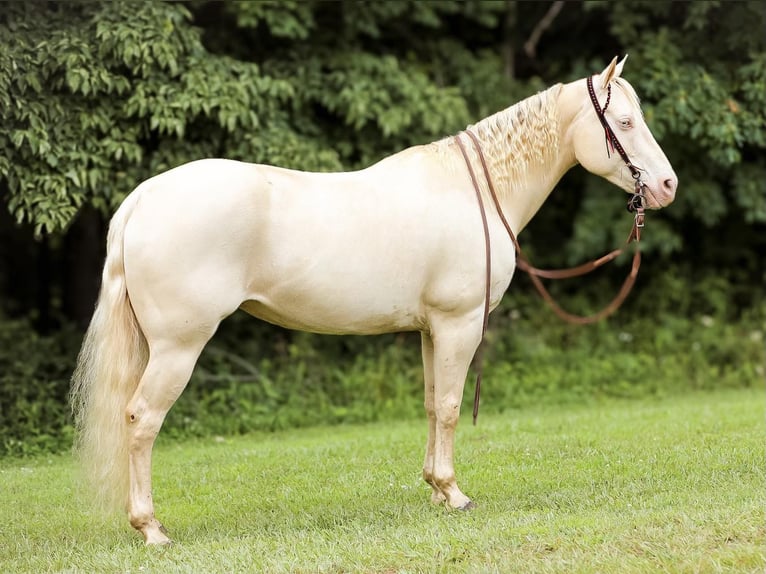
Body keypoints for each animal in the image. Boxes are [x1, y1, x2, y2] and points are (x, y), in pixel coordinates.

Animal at [70, 56, 680, 548]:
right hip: (178, 348)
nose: (668, 186)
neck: (472, 191)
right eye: (625, 123)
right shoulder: (459, 325)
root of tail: (142, 199)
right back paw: (151, 529)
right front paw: (456, 494)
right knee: (142, 420)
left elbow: (433, 405)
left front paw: (436, 490)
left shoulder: (432, 330)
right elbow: (452, 407)